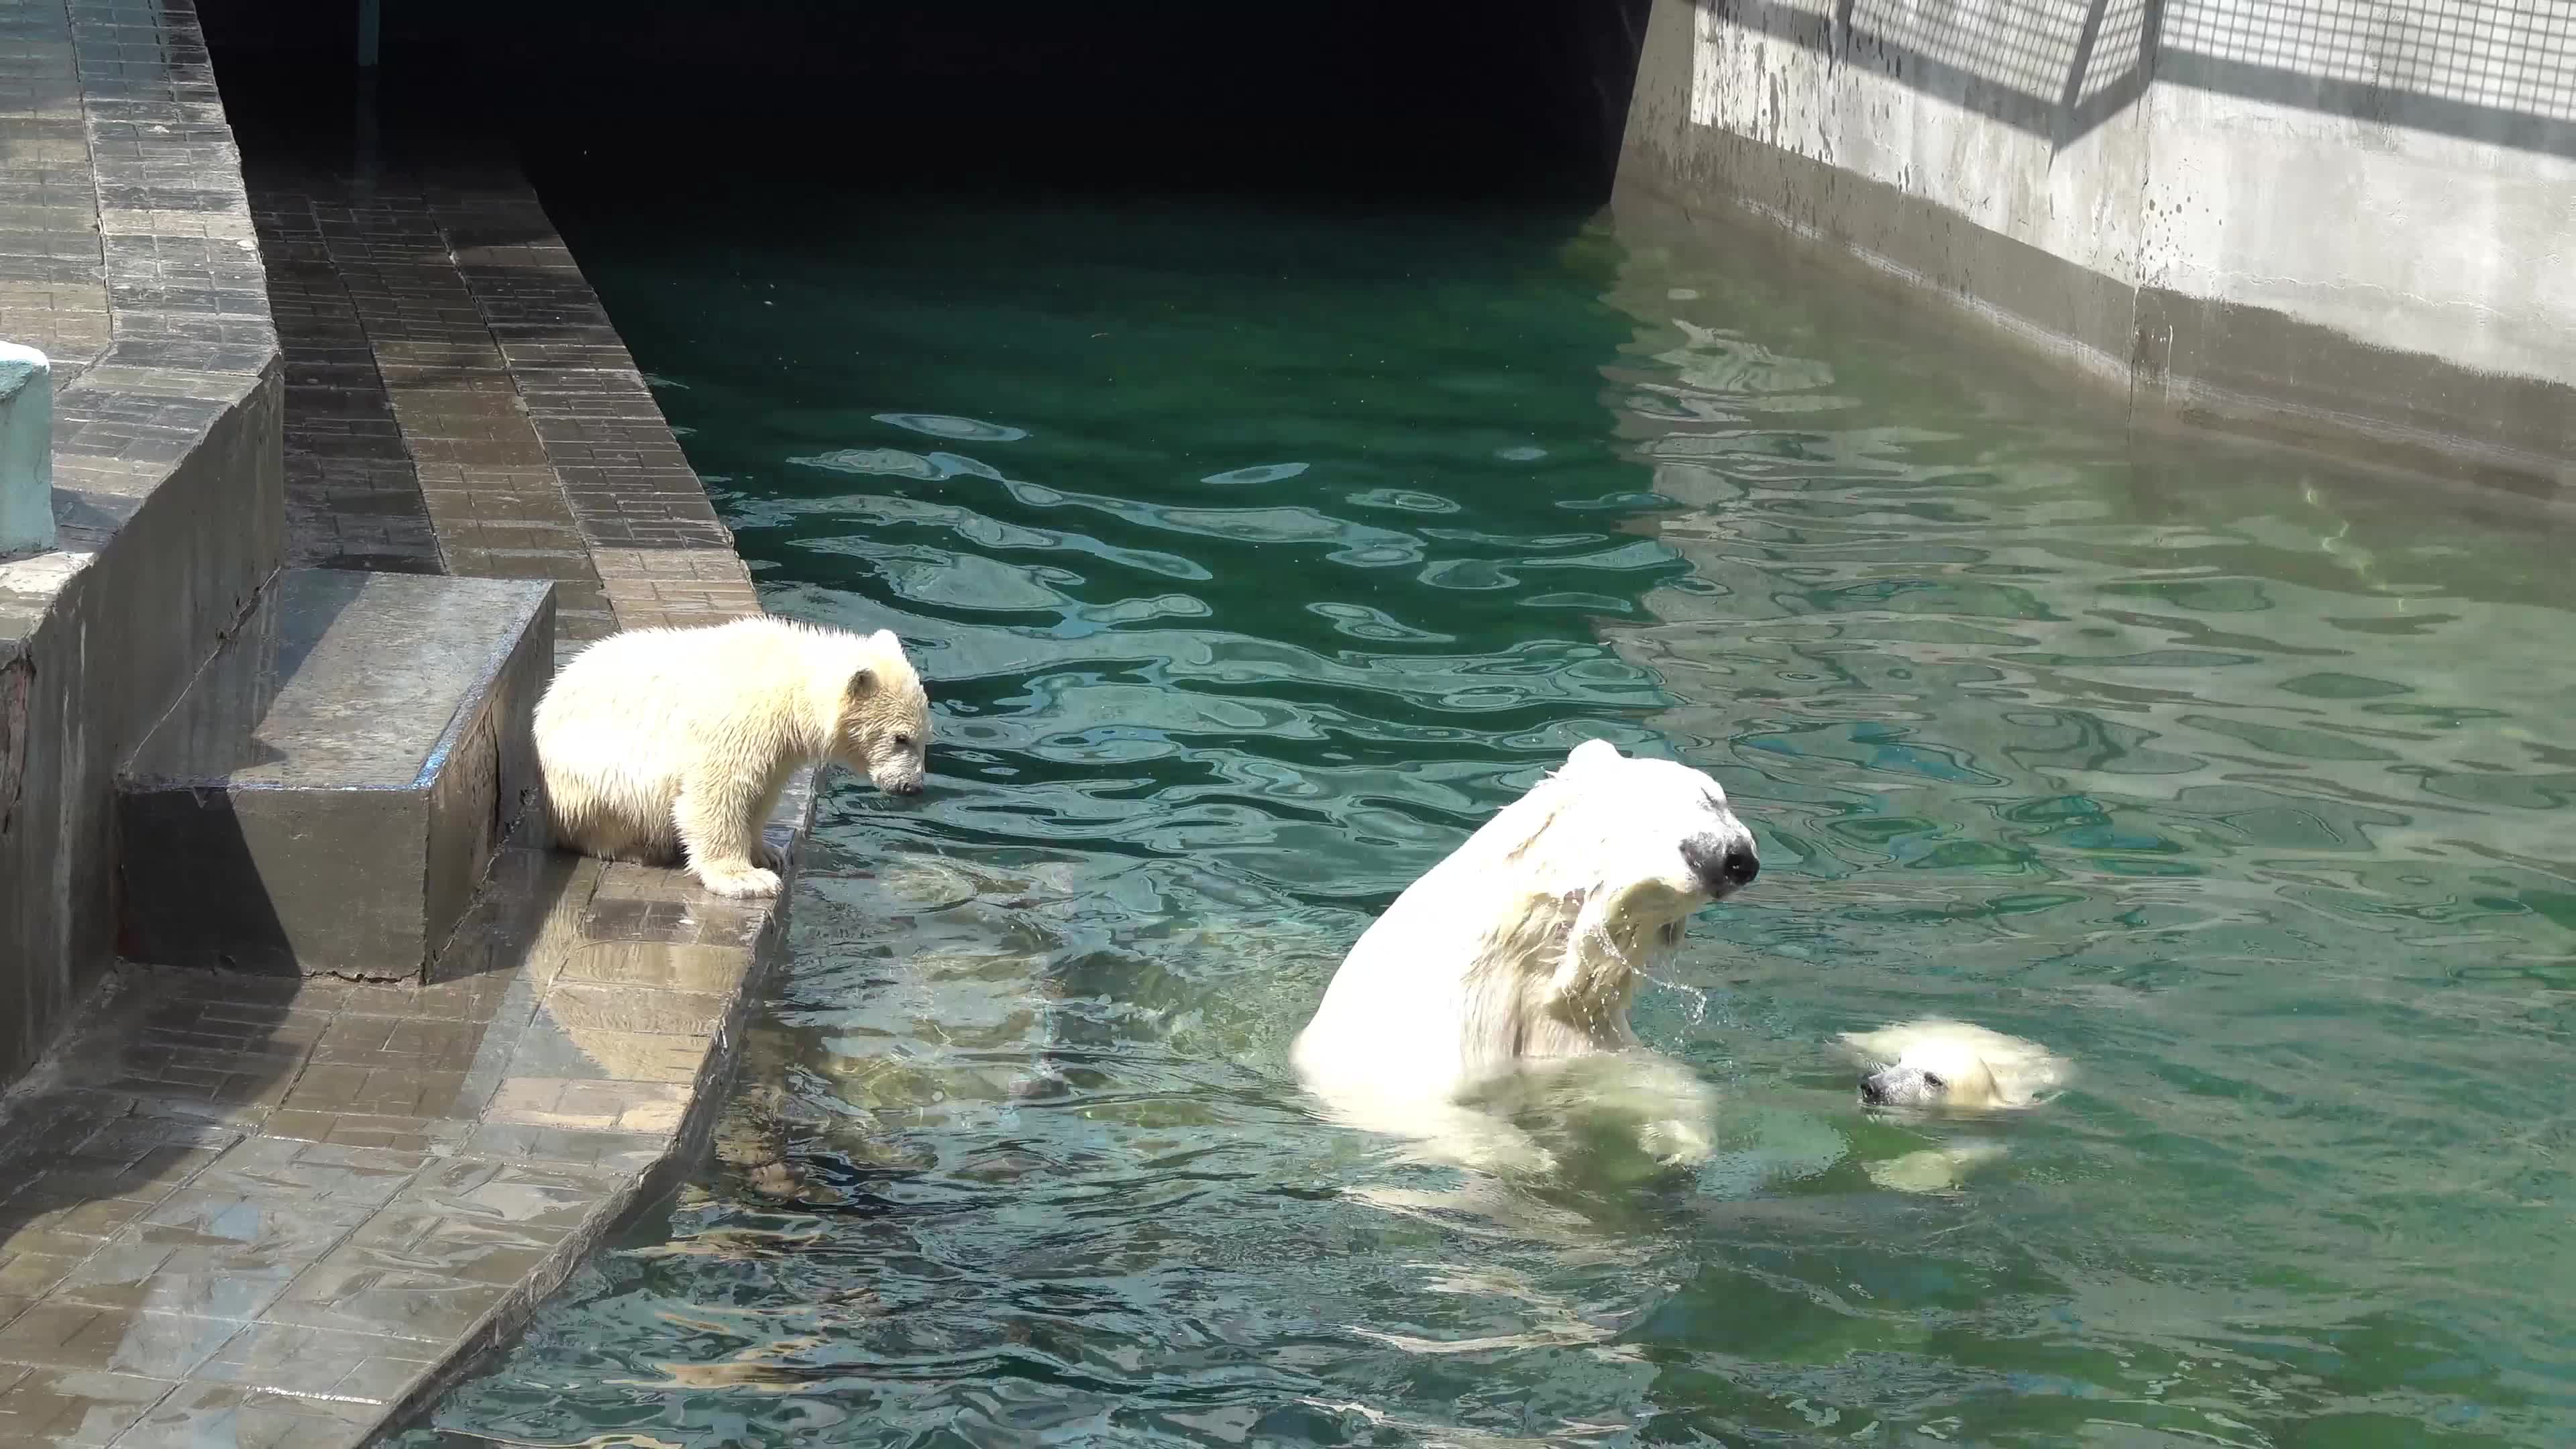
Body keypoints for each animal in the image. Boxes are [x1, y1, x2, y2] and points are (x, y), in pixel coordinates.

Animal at [1298, 737, 1762, 1165]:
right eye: (1709, 796)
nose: (1743, 859)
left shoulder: (1580, 1039)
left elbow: (1655, 1082)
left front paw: (1679, 1141)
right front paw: (1534, 1158)